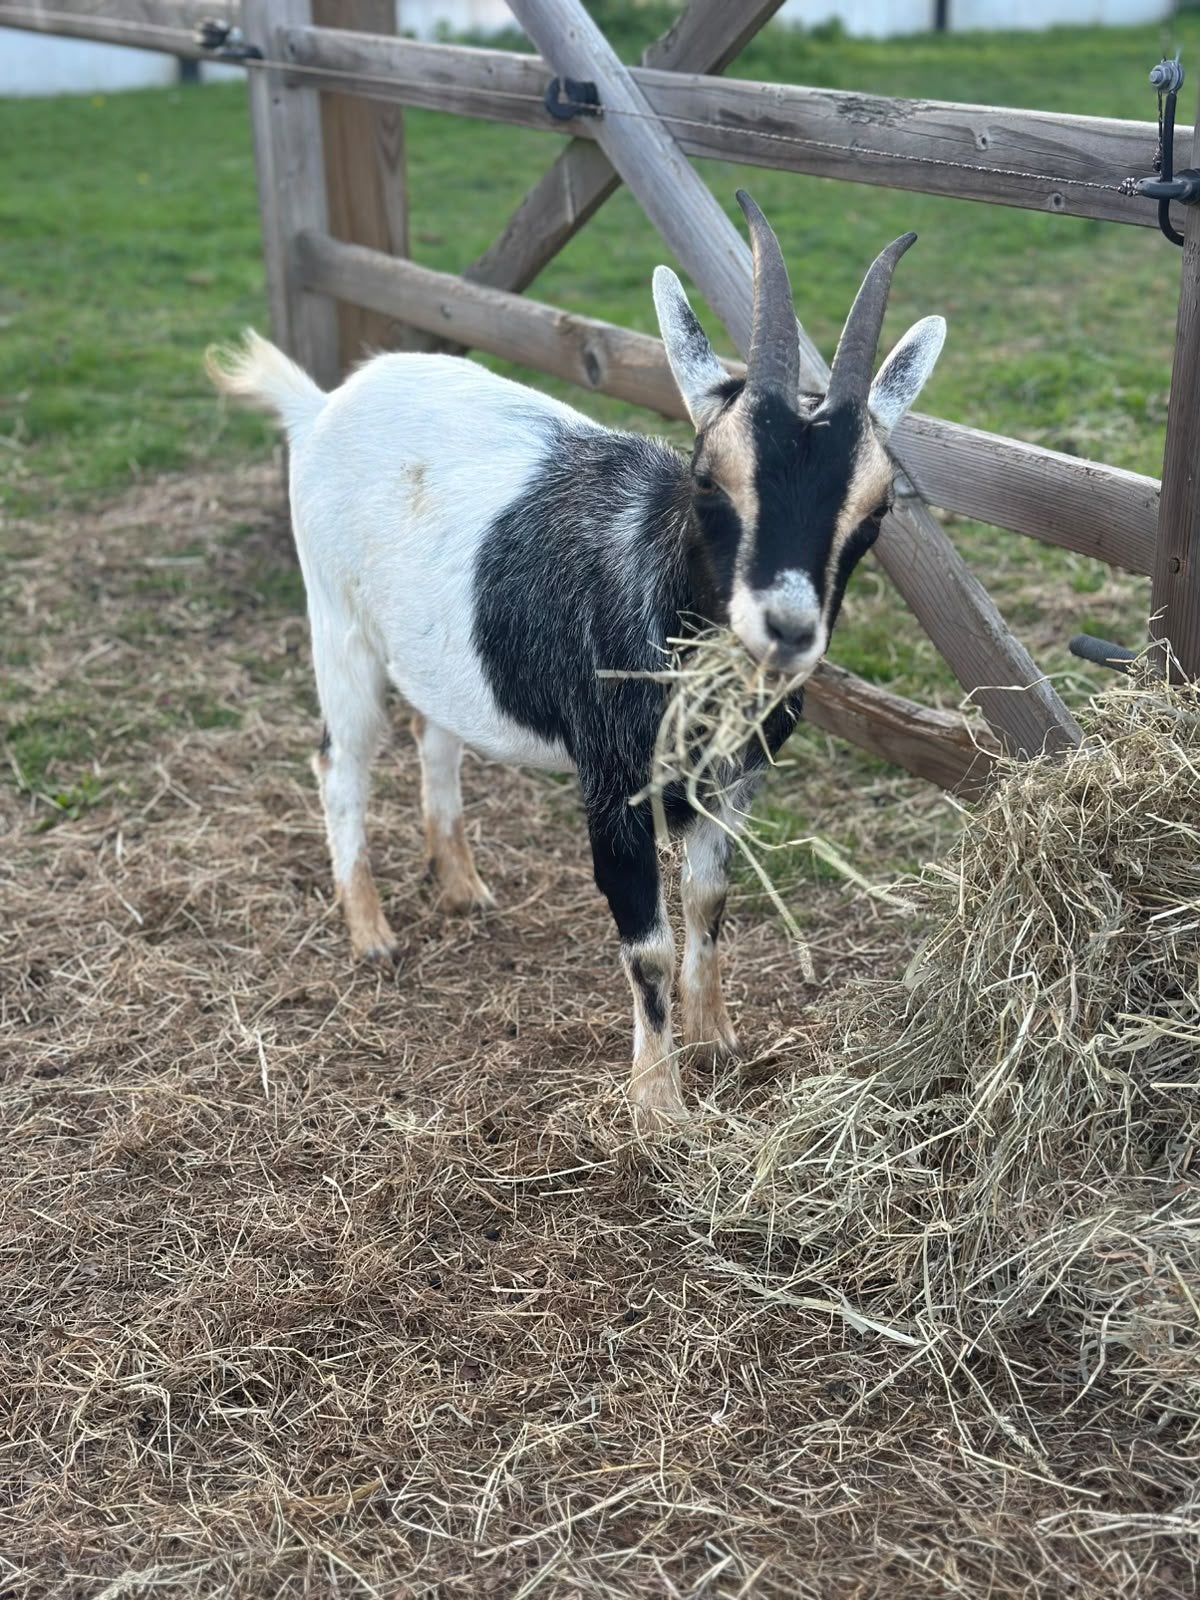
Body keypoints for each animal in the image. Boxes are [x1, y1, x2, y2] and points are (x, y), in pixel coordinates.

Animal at [208, 191, 945, 1128]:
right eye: (709, 477)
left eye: (878, 506)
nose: (786, 628)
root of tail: (319, 405)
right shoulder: (612, 783)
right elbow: (649, 943)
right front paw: (658, 1108)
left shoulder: (731, 780)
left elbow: (710, 900)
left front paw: (718, 1042)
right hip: (338, 625)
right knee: (339, 762)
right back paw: (371, 933)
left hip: (438, 650)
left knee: (437, 739)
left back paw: (461, 884)